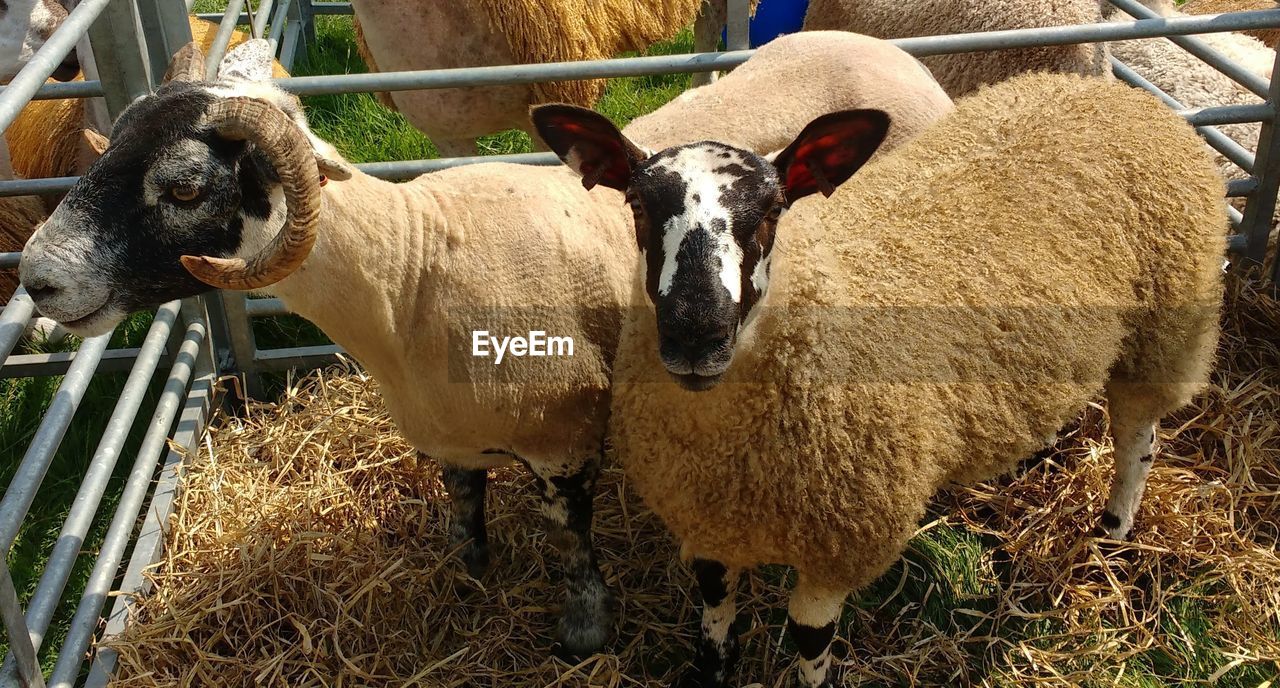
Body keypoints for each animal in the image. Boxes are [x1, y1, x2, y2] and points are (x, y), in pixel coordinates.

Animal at [532, 72, 1228, 680]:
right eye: (637, 205)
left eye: (773, 211)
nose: (695, 335)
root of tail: (1113, 94)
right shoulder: (706, 520)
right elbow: (714, 612)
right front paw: (712, 671)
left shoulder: (843, 542)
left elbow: (809, 640)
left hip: (1165, 328)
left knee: (1139, 437)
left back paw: (1114, 530)